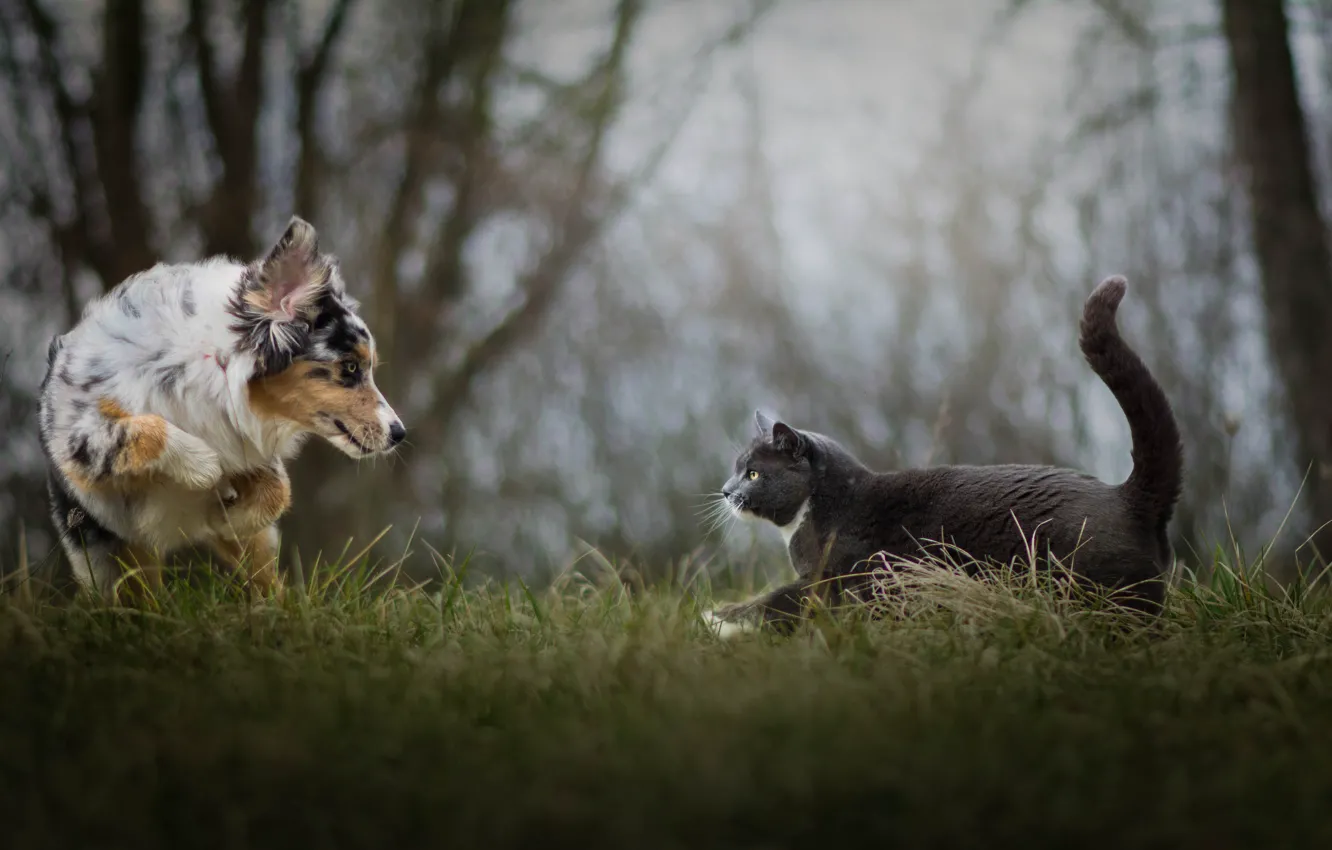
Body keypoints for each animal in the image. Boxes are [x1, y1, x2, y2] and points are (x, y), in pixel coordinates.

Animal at [41, 215, 404, 602]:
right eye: (350, 367)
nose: (399, 433)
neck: (213, 366)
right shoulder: (78, 441)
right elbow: (145, 428)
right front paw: (201, 466)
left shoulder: (244, 442)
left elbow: (277, 492)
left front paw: (224, 518)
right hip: (104, 552)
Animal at [708, 277, 1188, 636]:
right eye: (736, 471)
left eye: (753, 474)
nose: (726, 491)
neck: (823, 509)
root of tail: (1131, 498)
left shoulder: (835, 579)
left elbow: (781, 601)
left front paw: (717, 620)